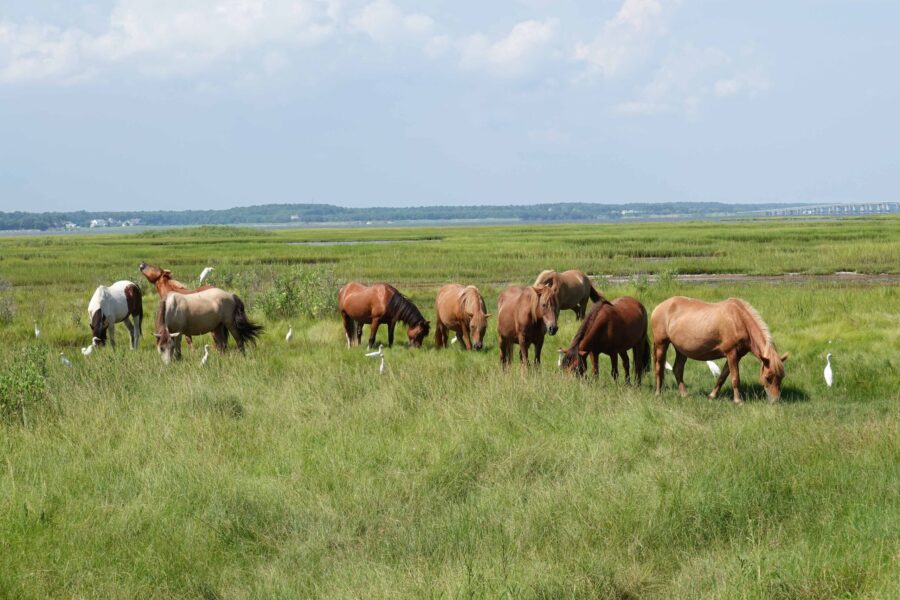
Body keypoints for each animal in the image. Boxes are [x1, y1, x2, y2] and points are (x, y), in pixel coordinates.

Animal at [652, 296, 792, 404]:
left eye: (781, 377)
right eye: (768, 377)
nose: (775, 401)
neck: (739, 320)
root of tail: (658, 308)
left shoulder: (736, 356)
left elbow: (722, 376)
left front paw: (712, 396)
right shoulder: (731, 353)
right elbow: (735, 378)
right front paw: (738, 401)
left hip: (681, 349)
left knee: (677, 369)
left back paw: (684, 395)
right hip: (661, 344)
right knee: (659, 368)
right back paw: (658, 394)